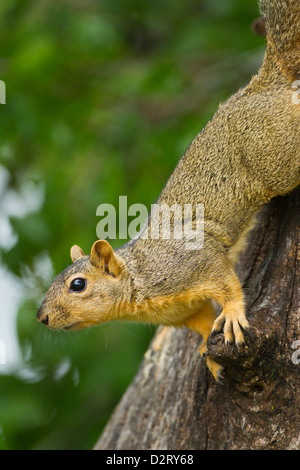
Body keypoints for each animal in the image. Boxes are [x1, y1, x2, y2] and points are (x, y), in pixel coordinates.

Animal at [37, 0, 300, 380]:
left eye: (78, 285)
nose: (41, 317)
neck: (138, 286)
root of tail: (257, 89)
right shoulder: (185, 311)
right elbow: (203, 324)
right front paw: (208, 352)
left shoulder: (194, 260)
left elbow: (228, 285)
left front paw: (233, 315)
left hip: (278, 157)